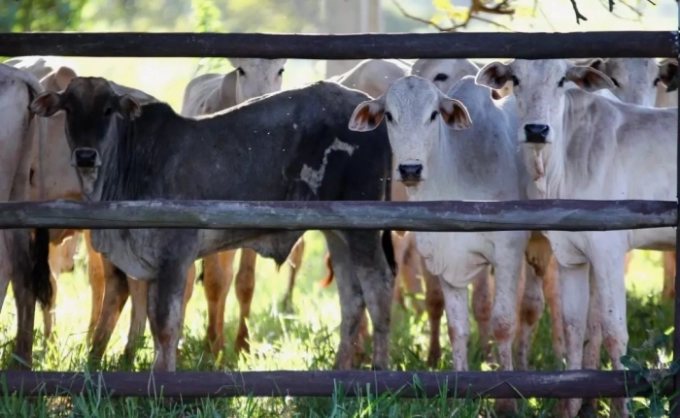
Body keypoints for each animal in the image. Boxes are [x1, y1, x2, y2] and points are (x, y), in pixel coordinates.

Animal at [31, 76, 396, 370]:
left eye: (108, 110)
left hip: (363, 231)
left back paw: (378, 369)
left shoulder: (176, 254)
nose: (85, 156)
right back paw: (341, 370)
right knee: (352, 297)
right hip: (339, 233)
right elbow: (158, 324)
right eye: (69, 109)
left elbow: (166, 325)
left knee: (379, 289)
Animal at [350, 74, 532, 412]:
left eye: (434, 114)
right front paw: (460, 395)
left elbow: (502, 324)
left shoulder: (508, 254)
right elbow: (456, 329)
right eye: (389, 115)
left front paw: (507, 402)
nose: (410, 169)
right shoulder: (447, 262)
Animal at [476, 58, 676, 418]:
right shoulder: (570, 256)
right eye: (516, 79)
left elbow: (614, 332)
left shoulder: (609, 251)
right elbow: (573, 327)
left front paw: (622, 408)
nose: (536, 130)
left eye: (560, 80)